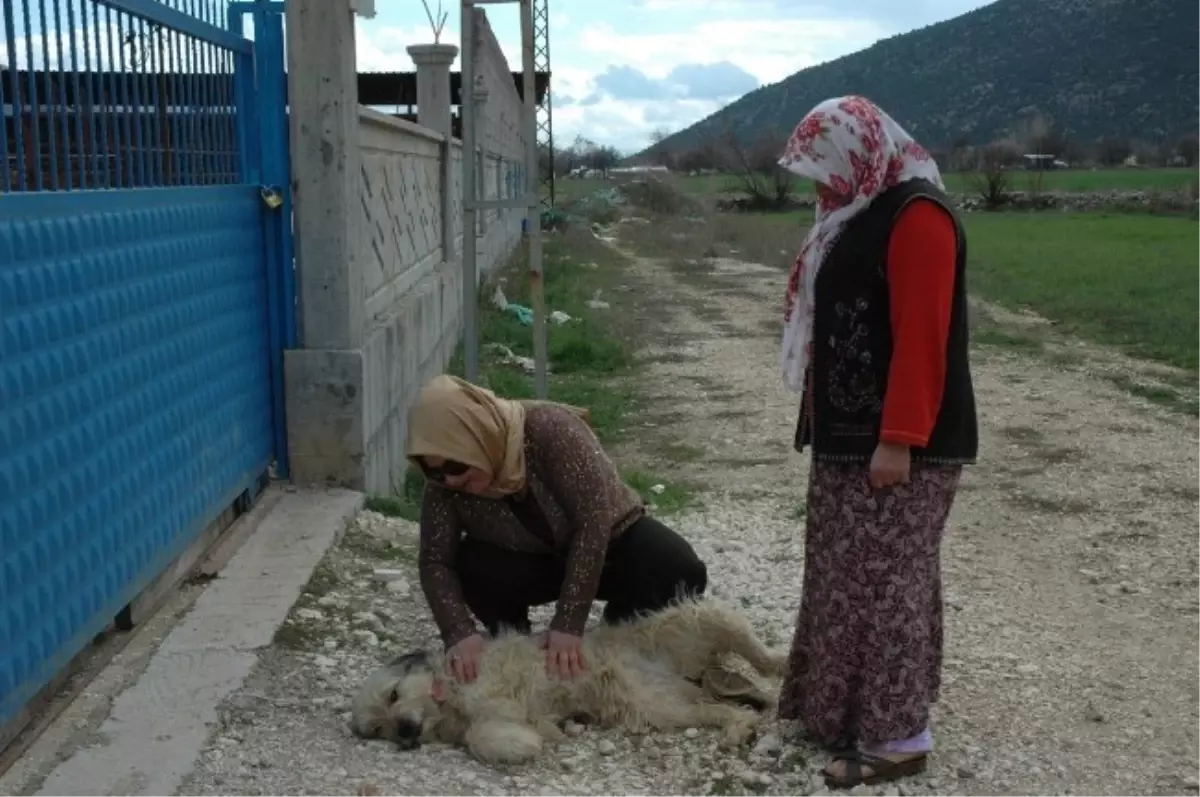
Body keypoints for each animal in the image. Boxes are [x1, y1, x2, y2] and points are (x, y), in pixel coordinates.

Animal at [350, 597, 792, 768]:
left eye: (394, 695)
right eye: (379, 730)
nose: (404, 731)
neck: (449, 706)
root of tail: (687, 677)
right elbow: (485, 733)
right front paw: (524, 742)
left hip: (695, 622)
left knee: (752, 647)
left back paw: (784, 663)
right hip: (664, 706)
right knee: (718, 708)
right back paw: (739, 725)